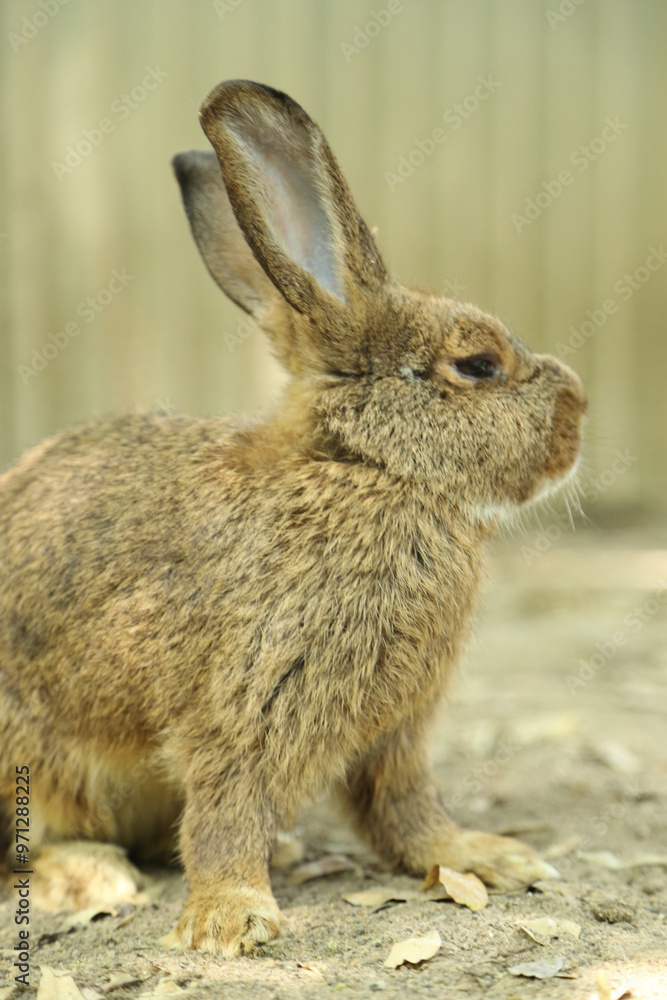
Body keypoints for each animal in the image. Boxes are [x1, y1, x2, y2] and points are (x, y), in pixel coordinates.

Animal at [0, 79, 586, 957]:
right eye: (477, 365)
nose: (578, 412)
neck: (366, 470)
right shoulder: (251, 699)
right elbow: (227, 808)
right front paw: (232, 919)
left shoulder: (395, 729)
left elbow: (405, 808)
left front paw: (485, 857)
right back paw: (95, 875)